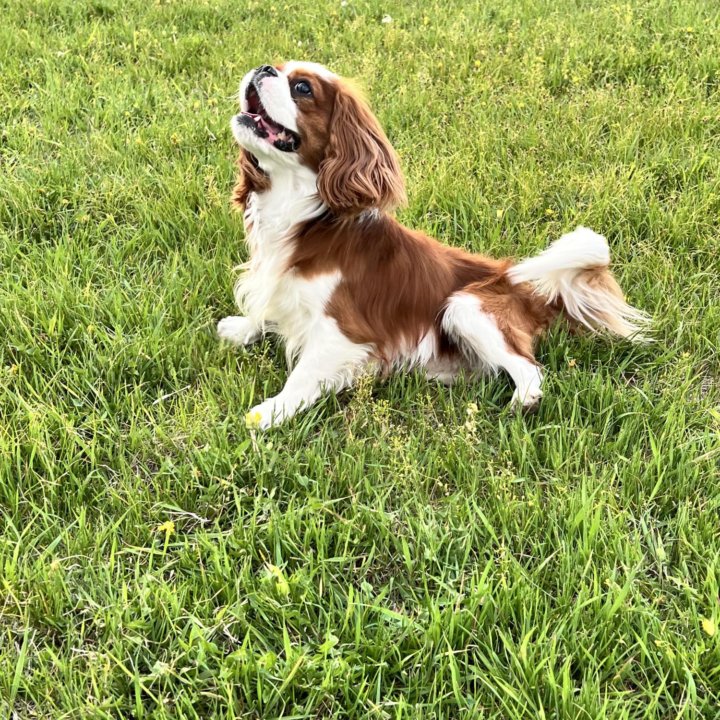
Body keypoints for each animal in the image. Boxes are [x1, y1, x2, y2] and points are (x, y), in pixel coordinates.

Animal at [217, 62, 648, 428]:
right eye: (275, 66)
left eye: (303, 88)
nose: (263, 69)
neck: (299, 210)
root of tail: (528, 292)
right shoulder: (274, 279)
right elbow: (265, 311)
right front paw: (242, 328)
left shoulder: (342, 333)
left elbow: (304, 375)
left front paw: (269, 412)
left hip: (464, 306)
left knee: (528, 366)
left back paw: (523, 401)